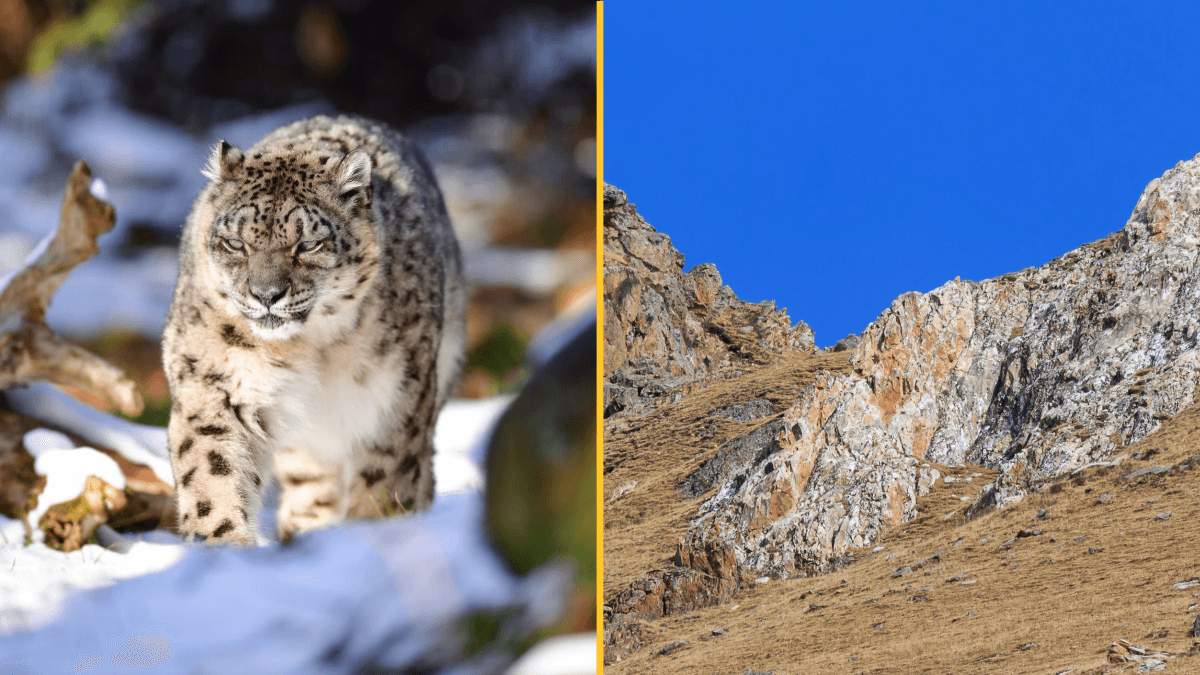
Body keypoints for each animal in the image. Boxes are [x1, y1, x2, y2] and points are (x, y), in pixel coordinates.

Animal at [162, 114, 466, 544]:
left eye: (308, 245)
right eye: (236, 243)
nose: (266, 294)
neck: (305, 349)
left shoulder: (394, 402)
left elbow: (385, 482)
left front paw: (375, 536)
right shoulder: (211, 383)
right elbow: (213, 477)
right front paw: (222, 547)